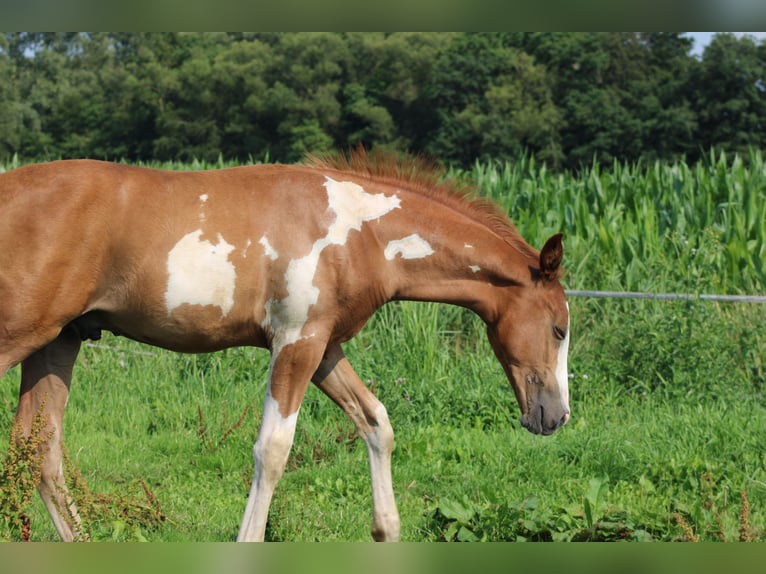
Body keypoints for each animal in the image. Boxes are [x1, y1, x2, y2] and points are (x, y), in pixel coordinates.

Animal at [0, 152, 568, 540]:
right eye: (560, 329)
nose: (555, 416)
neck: (359, 232)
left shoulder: (324, 347)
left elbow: (376, 422)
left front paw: (386, 530)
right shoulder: (295, 343)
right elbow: (273, 450)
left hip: (59, 342)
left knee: (40, 449)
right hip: (20, 336)